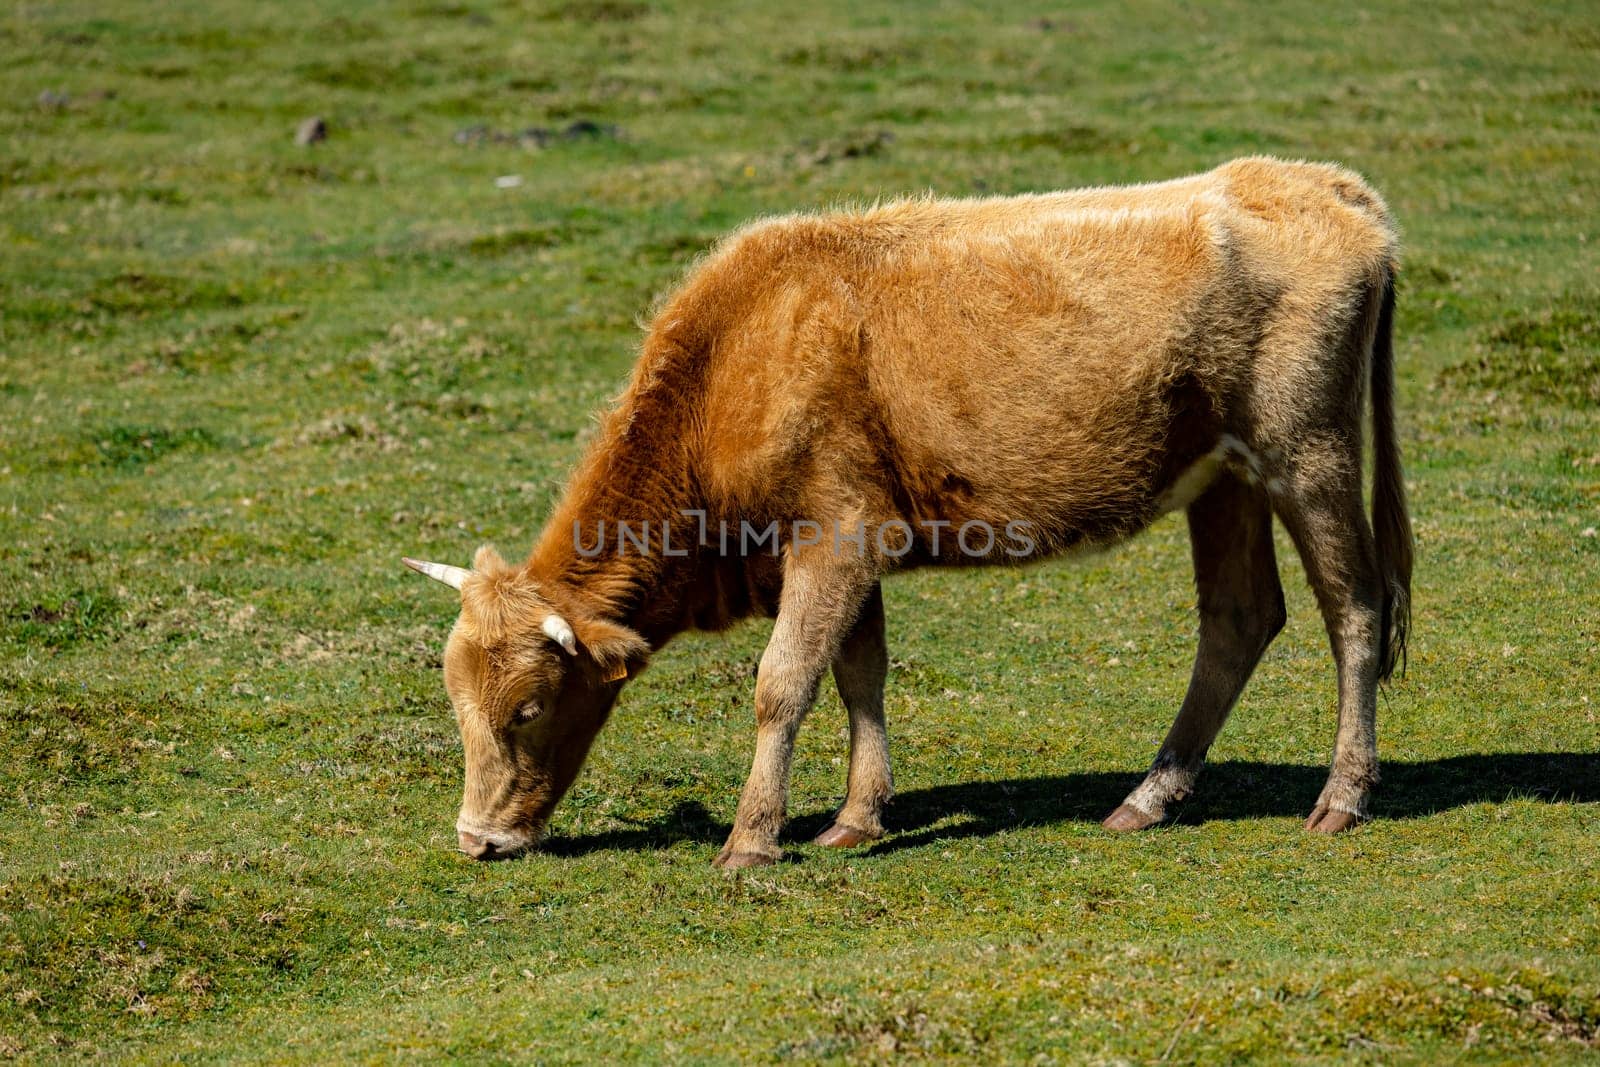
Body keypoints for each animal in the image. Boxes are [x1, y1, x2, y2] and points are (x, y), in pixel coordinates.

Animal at [403, 156, 1414, 870]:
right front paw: (856, 818)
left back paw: (1342, 796)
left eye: (529, 706)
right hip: (1225, 478)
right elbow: (860, 673)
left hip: (1308, 450)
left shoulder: (833, 537)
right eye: (454, 699)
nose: (477, 838)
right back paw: (1149, 797)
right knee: (1240, 618)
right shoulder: (847, 541)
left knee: (1355, 606)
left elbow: (784, 682)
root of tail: (1326, 186)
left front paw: (750, 839)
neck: (739, 358)